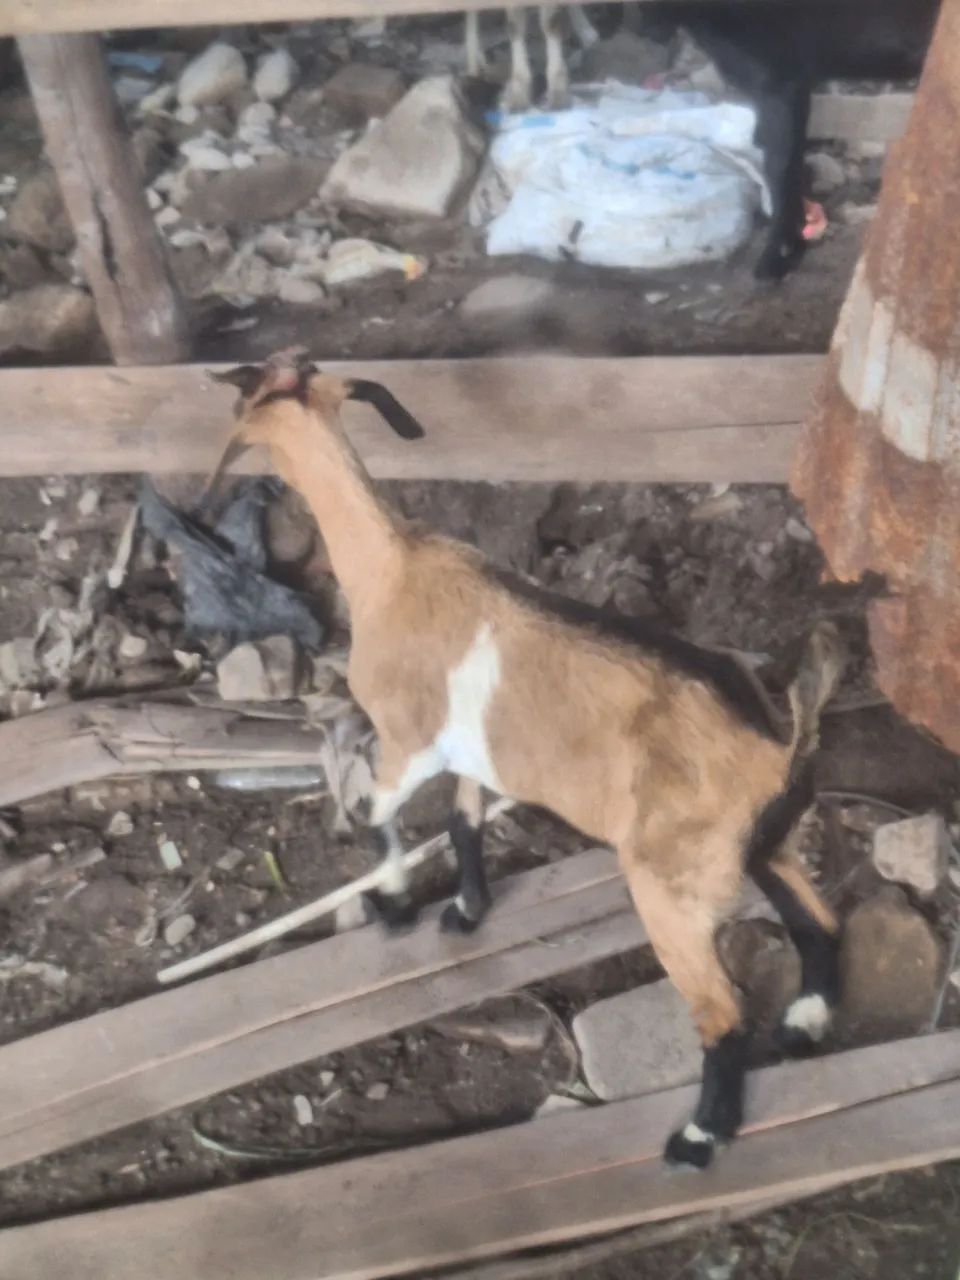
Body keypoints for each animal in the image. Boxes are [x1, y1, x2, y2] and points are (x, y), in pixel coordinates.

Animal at [205, 348, 845, 1169]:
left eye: (243, 404)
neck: (390, 569)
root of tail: (780, 748)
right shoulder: (470, 754)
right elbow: (465, 821)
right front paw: (466, 911)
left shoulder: (408, 742)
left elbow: (378, 813)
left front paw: (395, 906)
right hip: (770, 848)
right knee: (818, 923)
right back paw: (805, 1024)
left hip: (670, 889)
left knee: (722, 1013)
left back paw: (698, 1138)